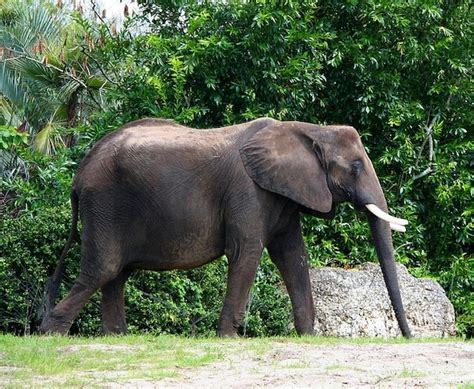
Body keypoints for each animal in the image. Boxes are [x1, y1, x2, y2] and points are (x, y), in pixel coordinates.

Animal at [39, 117, 412, 336]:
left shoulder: (282, 196)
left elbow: (292, 255)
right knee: (104, 268)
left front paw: (307, 336)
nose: (408, 337)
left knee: (117, 273)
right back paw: (51, 333)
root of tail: (81, 169)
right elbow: (246, 252)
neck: (308, 129)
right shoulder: (247, 191)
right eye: (355, 166)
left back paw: (118, 337)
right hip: (104, 203)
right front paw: (229, 337)